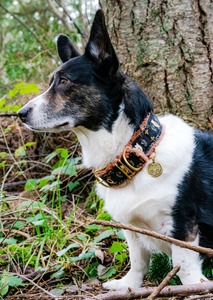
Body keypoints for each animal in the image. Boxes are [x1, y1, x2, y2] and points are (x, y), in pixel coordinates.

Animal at [17, 9, 213, 290]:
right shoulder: (132, 228)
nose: (20, 114)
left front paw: (194, 287)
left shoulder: (183, 223)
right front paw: (129, 285)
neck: (139, 150)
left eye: (64, 81)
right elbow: (137, 259)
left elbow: (184, 264)